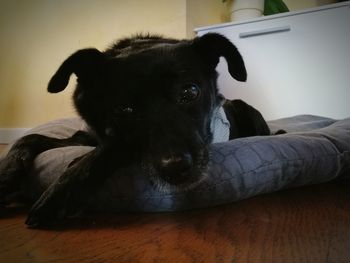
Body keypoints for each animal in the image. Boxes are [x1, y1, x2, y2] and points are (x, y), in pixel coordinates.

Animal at [0, 32, 270, 227]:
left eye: (190, 91)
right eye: (123, 109)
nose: (176, 168)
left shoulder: (117, 145)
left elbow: (109, 149)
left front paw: (59, 192)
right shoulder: (85, 135)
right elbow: (30, 137)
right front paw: (7, 175)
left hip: (246, 109)